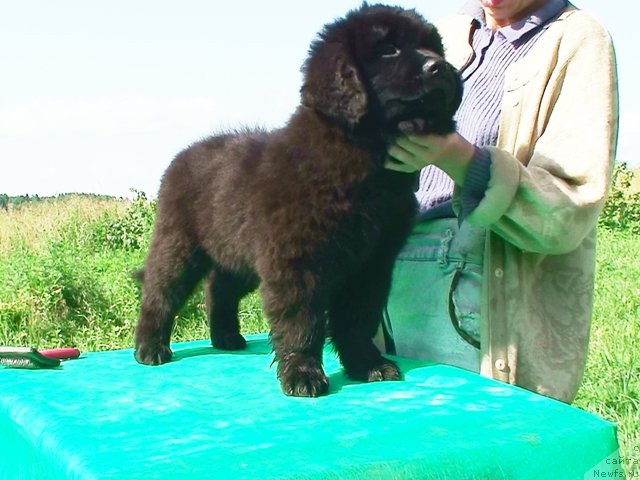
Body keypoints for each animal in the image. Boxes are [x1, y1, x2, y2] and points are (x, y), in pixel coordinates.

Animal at [135, 4, 462, 398]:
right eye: (388, 50)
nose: (440, 67)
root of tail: (182, 155)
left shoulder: (371, 264)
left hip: (238, 254)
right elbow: (301, 321)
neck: (364, 165)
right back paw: (150, 347)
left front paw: (367, 364)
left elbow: (358, 318)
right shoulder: (296, 259)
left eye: (435, 48)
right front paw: (303, 374)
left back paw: (226, 337)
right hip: (180, 243)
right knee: (160, 290)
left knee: (219, 288)